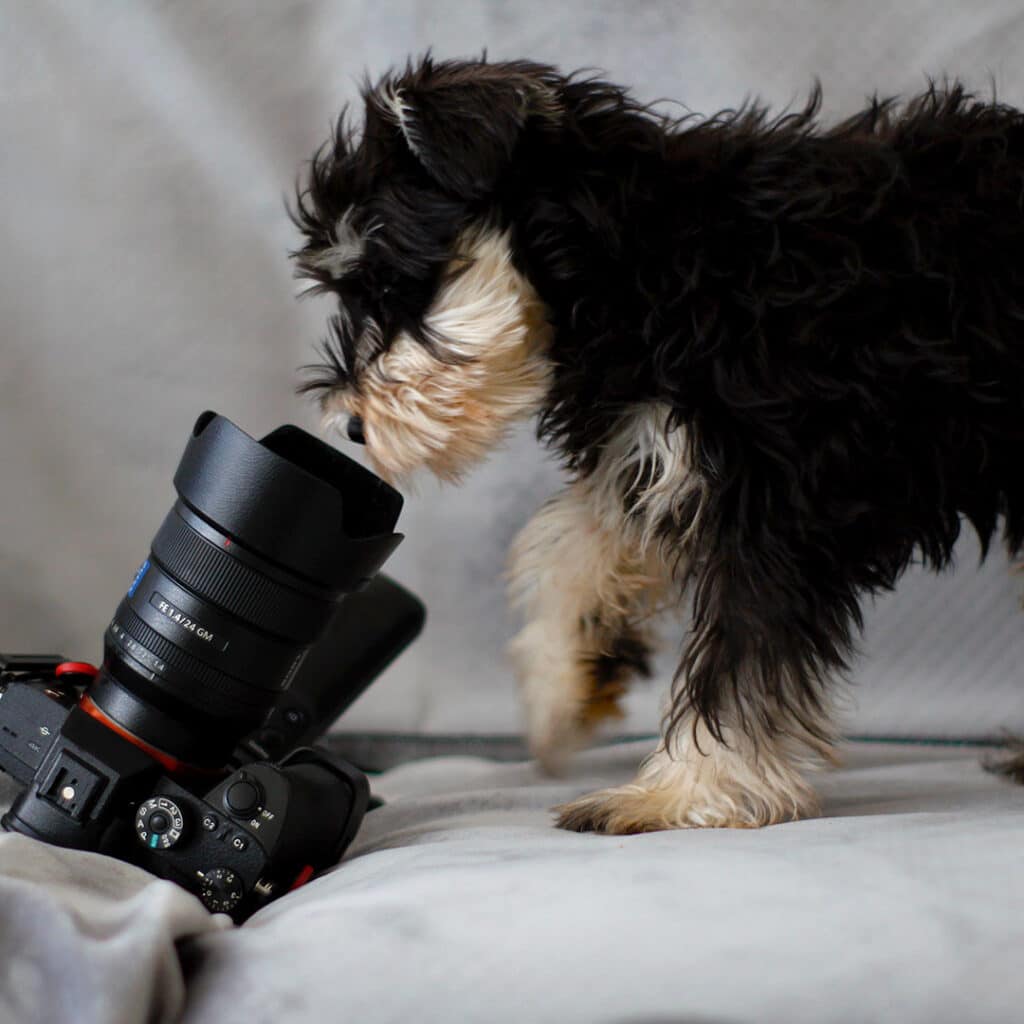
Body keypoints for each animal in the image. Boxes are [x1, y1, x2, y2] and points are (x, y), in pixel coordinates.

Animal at [286, 56, 1024, 835]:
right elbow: (575, 551)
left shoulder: (769, 503)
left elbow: (737, 659)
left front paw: (680, 793)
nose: (352, 425)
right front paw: (562, 687)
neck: (645, 257)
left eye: (390, 283)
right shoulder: (658, 452)